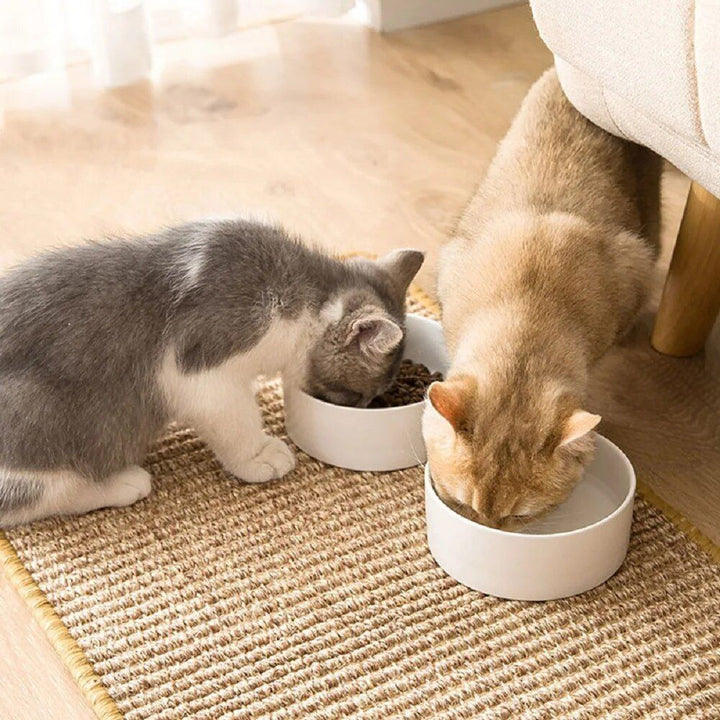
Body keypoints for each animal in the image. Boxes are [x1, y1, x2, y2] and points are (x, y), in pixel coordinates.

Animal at [0, 217, 422, 524]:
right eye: (355, 396)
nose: (363, 408)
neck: (299, 293)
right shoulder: (203, 370)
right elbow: (236, 418)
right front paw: (258, 455)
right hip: (42, 414)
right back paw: (120, 483)